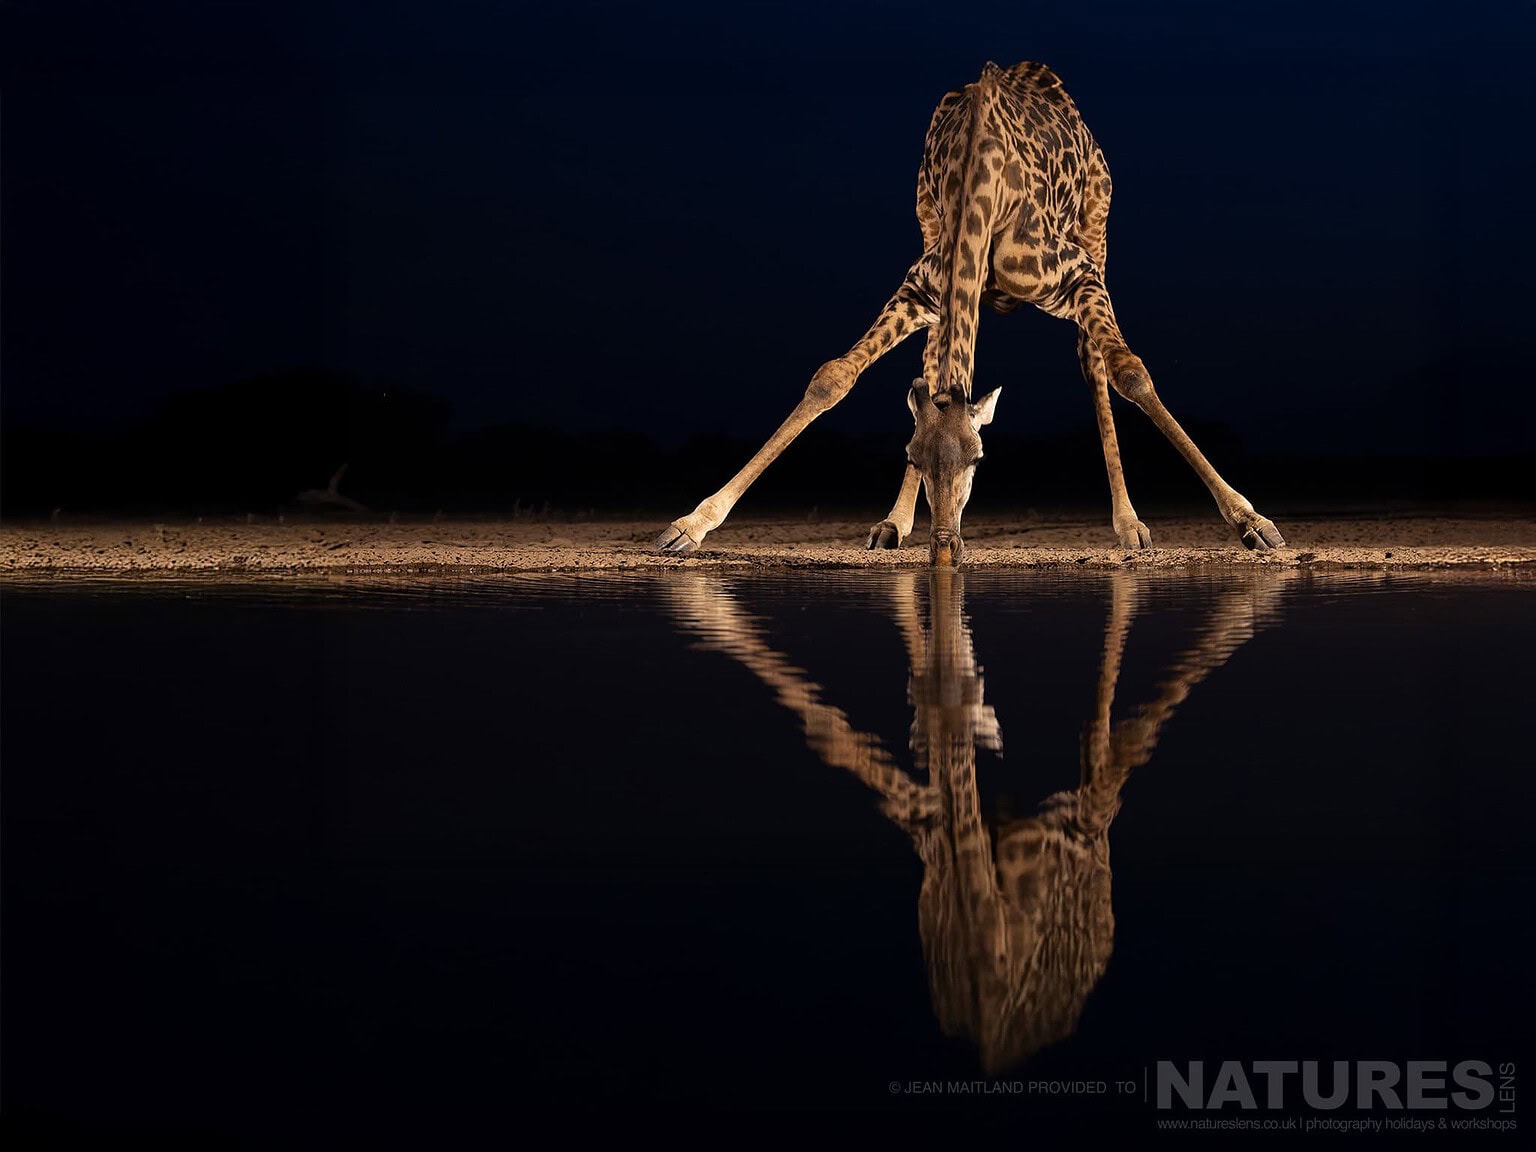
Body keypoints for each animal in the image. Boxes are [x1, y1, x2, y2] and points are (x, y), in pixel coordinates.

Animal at [656, 60, 1285, 566]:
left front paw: (1252, 521)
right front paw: (689, 526)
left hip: (1097, 228)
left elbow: (1132, 373)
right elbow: (833, 377)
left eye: (981, 459)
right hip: (933, 246)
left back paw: (1129, 523)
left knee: (1095, 364)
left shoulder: (1077, 274)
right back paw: (892, 524)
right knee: (932, 363)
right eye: (911, 453)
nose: (945, 549)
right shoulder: (920, 288)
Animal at [664, 568, 1289, 1072]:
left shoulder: (1059, 819)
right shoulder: (927, 818)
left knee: (1110, 754)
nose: (949, 689)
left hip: (1081, 818)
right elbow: (837, 739)